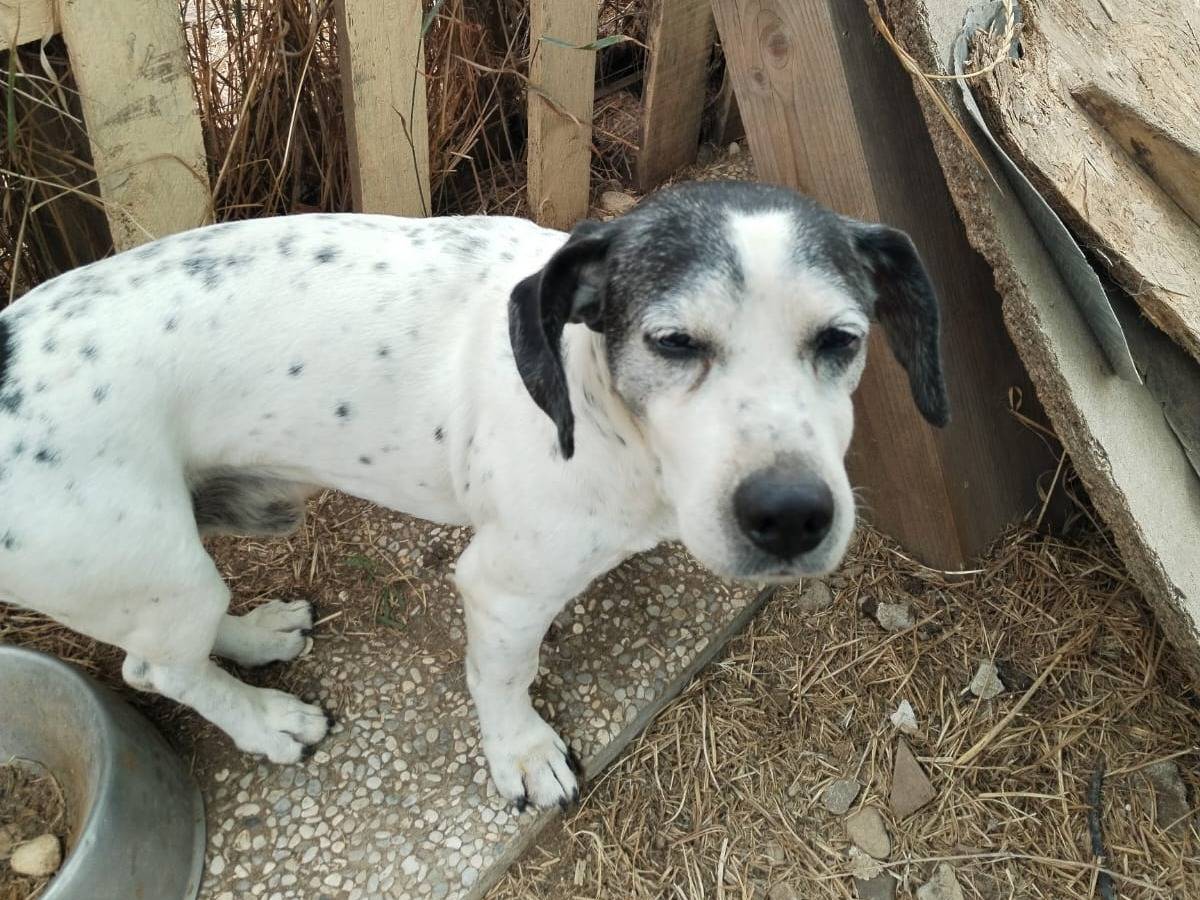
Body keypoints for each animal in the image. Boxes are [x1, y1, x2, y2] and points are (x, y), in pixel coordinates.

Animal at [0, 181, 945, 811]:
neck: (592, 402)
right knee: (155, 665)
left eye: (841, 339)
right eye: (673, 342)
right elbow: (501, 675)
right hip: (150, 567)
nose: (791, 515)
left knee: (176, 646)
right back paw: (267, 720)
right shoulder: (503, 589)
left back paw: (258, 635)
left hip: (170, 574)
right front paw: (522, 755)